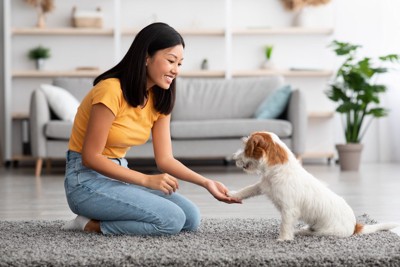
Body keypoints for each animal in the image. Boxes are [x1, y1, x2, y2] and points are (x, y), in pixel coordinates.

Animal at [230, 132, 398, 243]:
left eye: (246, 148)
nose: (233, 157)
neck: (280, 168)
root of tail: (355, 225)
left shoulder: (289, 209)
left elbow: (285, 224)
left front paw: (283, 239)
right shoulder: (262, 185)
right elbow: (248, 189)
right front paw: (233, 195)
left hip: (325, 231)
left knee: (312, 233)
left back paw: (300, 232)